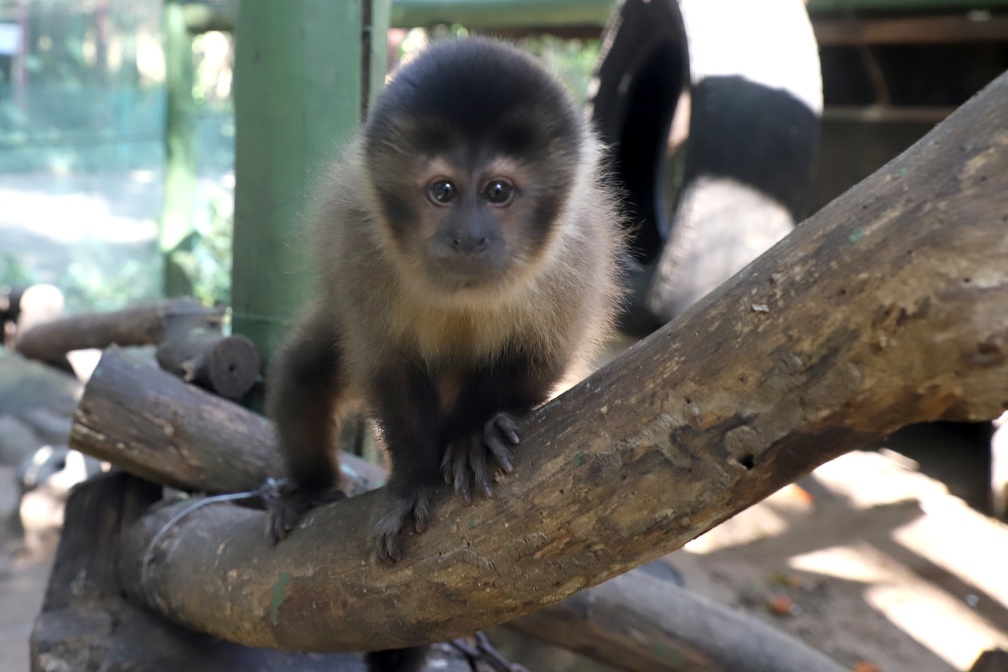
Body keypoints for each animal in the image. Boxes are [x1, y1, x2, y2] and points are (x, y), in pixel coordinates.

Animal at [264, 35, 624, 672]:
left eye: (498, 192)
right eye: (443, 191)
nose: (469, 236)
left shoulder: (579, 252)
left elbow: (541, 354)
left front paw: (475, 432)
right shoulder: (356, 240)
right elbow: (386, 365)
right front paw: (412, 479)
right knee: (303, 376)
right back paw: (312, 489)